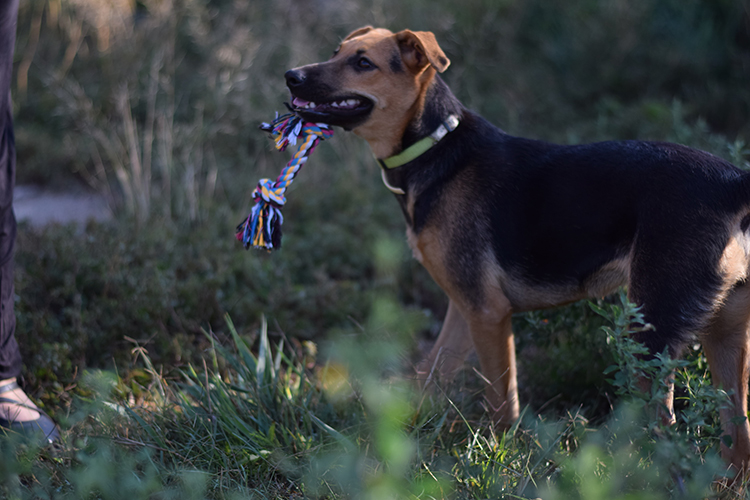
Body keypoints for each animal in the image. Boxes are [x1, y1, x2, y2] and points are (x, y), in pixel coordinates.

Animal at [284, 25, 750, 470]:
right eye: (336, 51)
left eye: (363, 63)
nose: (291, 75)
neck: (435, 145)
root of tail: (732, 185)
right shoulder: (463, 310)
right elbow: (427, 376)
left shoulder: (488, 314)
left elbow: (501, 404)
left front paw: (498, 457)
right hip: (726, 335)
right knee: (738, 438)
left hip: (650, 337)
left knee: (669, 433)